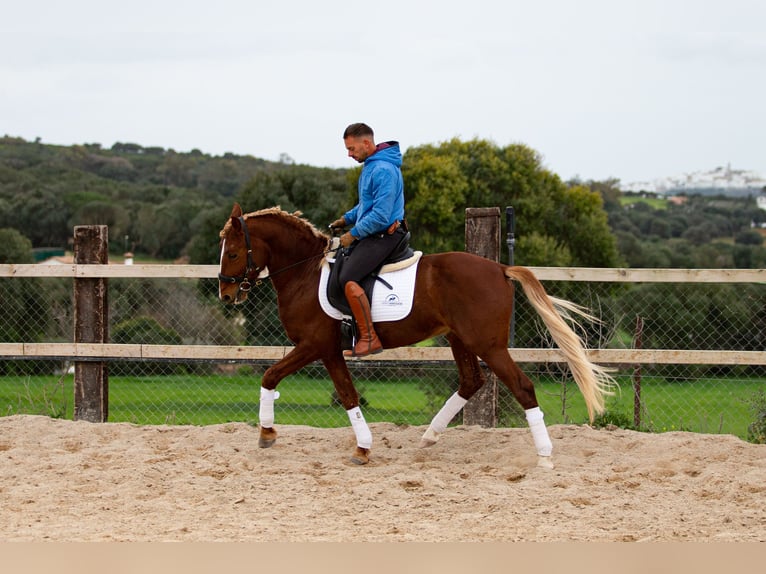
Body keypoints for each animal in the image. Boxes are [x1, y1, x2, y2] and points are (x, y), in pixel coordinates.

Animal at [219, 206, 616, 468]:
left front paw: (270, 434)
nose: (226, 295)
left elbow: (283, 378)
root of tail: (500, 268)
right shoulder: (325, 350)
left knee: (521, 387)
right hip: (460, 340)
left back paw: (545, 457)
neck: (305, 272)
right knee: (471, 382)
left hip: (488, 344)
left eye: (234, 252)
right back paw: (429, 436)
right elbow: (334, 392)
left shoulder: (317, 346)